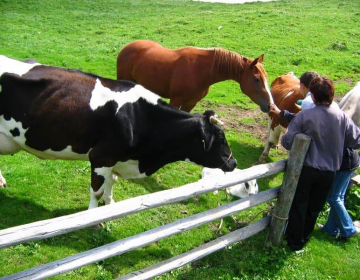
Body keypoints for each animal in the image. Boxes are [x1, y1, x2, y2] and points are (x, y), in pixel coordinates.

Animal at [0, 55, 238, 208]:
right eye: (220, 138)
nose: (234, 162)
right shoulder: (101, 157)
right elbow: (96, 190)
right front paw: (93, 219)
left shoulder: (115, 160)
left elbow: (111, 183)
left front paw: (110, 204)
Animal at [116, 40, 272, 112]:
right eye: (256, 79)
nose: (270, 105)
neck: (199, 71)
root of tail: (127, 47)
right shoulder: (176, 100)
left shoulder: (191, 103)